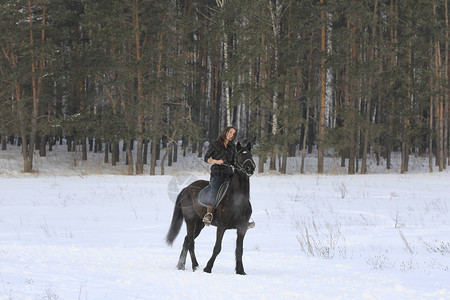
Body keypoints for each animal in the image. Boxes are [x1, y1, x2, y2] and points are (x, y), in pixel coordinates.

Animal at [166, 142, 256, 276]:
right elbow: (217, 247)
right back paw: (195, 266)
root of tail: (186, 188)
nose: (250, 168)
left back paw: (181, 265)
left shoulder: (242, 228)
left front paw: (241, 271)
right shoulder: (221, 227)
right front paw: (208, 268)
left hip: (199, 224)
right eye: (239, 156)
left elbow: (239, 249)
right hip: (190, 221)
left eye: (250, 155)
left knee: (187, 240)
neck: (237, 200)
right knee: (190, 242)